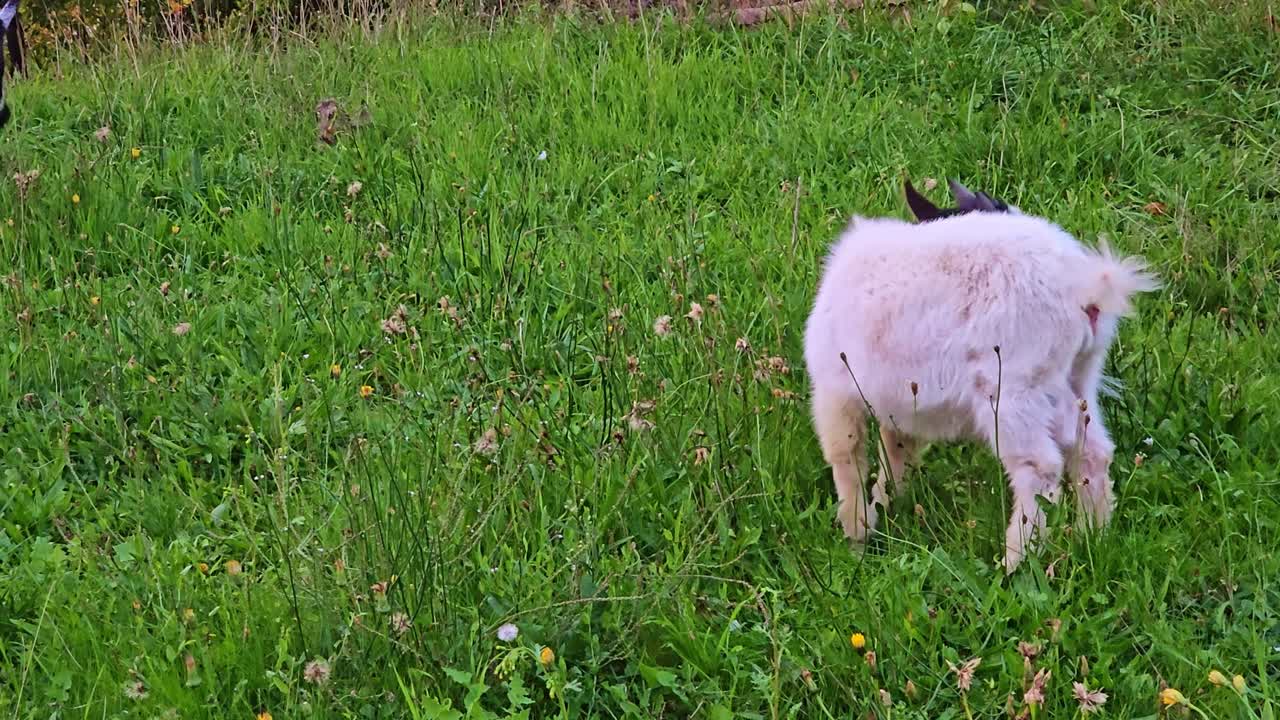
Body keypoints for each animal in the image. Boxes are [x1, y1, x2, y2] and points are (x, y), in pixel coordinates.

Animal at [803, 207, 1157, 572]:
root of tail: (1086, 290)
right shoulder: (900, 406)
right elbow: (897, 455)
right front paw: (885, 509)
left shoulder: (835, 390)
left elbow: (846, 456)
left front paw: (856, 537)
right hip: (1076, 379)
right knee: (1093, 452)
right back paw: (1093, 535)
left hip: (1012, 391)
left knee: (1039, 468)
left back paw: (1014, 562)